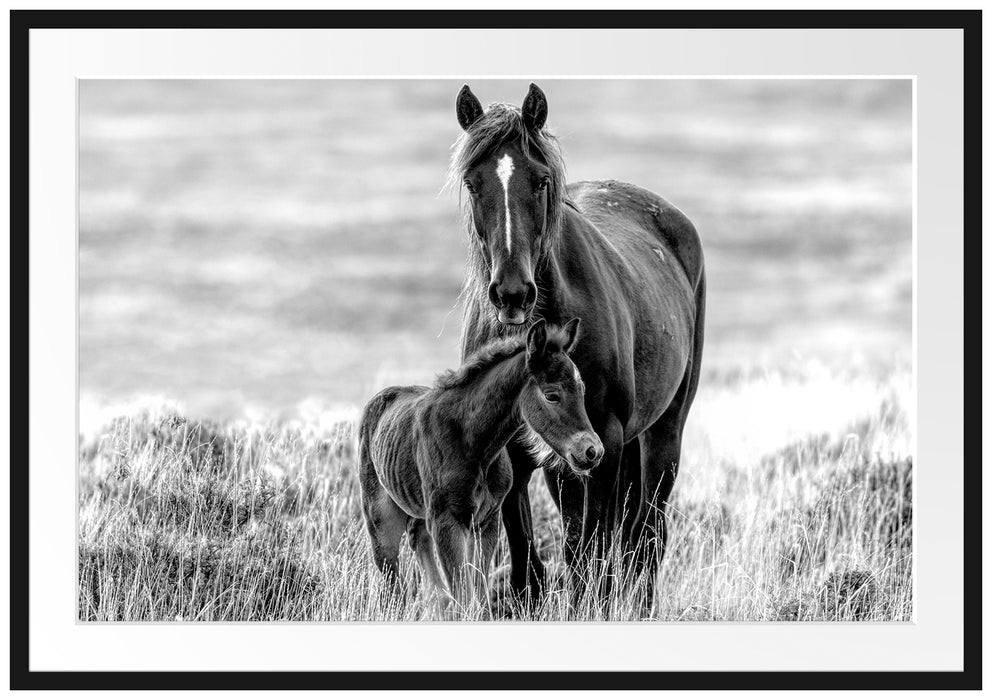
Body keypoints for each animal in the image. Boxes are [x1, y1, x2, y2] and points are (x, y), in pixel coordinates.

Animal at [358, 320, 600, 608]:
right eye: (551, 395)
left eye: (582, 390)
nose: (592, 451)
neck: (474, 445)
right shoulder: (447, 522)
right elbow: (465, 594)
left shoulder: (486, 521)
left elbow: (479, 594)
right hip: (380, 517)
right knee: (391, 574)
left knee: (420, 546)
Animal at [450, 80, 704, 596]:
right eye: (472, 182)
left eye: (540, 180)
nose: (512, 293)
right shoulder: (518, 453)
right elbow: (529, 562)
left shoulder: (602, 441)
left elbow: (593, 556)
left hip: (662, 433)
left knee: (647, 537)